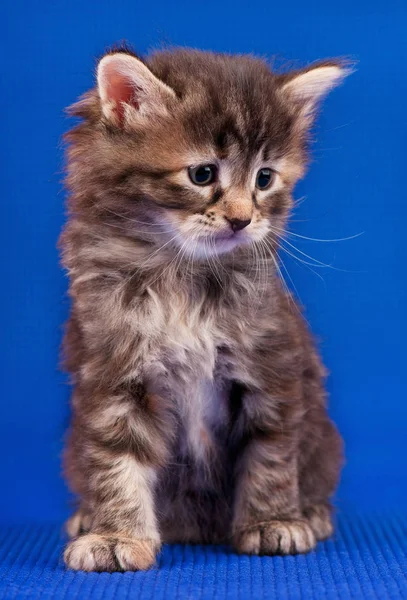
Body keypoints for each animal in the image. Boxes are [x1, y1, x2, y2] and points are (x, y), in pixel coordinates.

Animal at [60, 47, 350, 572]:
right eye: (202, 174)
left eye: (264, 178)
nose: (241, 219)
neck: (185, 279)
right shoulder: (113, 371)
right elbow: (116, 460)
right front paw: (115, 534)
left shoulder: (270, 366)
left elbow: (270, 454)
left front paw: (272, 522)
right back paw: (85, 514)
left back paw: (313, 513)